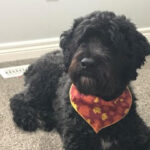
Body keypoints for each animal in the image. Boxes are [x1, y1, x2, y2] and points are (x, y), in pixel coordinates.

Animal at [9, 11, 149, 149]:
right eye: (82, 40)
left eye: (111, 42)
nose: (87, 63)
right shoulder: (78, 140)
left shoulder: (139, 133)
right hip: (43, 83)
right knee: (19, 98)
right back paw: (26, 119)